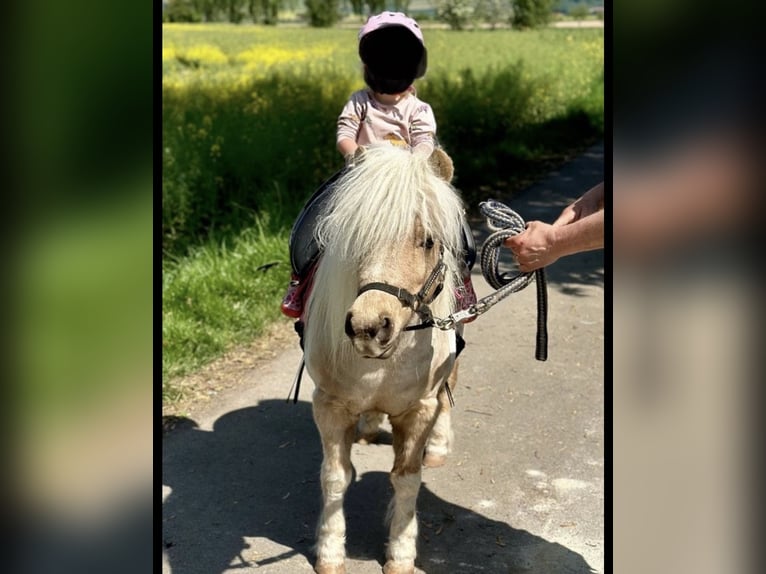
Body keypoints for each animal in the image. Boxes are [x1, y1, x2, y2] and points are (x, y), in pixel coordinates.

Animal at [304, 145, 468, 574]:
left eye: (427, 241)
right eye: (357, 239)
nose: (368, 326)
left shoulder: (419, 408)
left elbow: (407, 480)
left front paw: (400, 553)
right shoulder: (330, 405)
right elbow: (334, 478)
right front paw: (330, 552)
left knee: (449, 391)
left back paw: (439, 445)